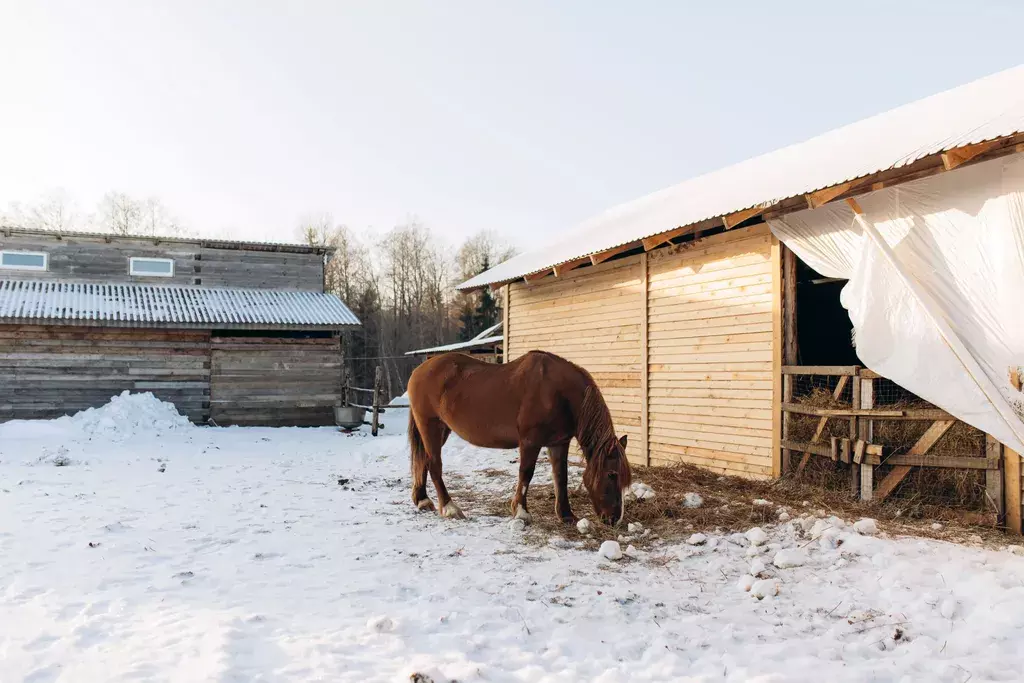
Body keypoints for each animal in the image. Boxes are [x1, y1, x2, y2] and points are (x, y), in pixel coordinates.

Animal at [405, 350, 630, 528]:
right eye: (612, 475)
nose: (614, 519)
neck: (558, 392)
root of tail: (418, 371)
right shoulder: (530, 441)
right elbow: (526, 473)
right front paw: (522, 512)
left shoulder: (558, 443)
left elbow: (561, 477)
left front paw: (566, 515)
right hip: (431, 427)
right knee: (434, 465)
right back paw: (450, 508)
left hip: (442, 430)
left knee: (423, 461)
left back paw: (422, 500)